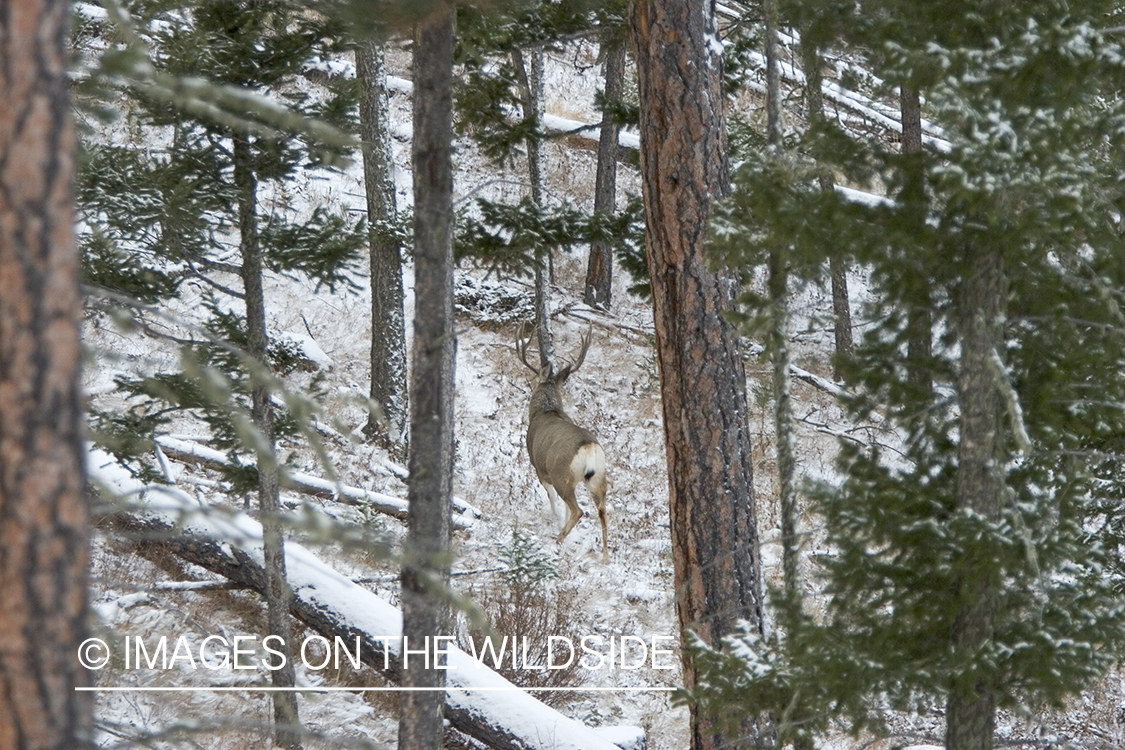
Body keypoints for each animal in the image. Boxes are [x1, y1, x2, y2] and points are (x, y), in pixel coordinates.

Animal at [517, 328, 609, 562]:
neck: (546, 410)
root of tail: (588, 447)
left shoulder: (540, 467)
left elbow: (551, 496)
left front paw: (555, 517)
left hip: (561, 473)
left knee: (578, 510)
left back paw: (557, 539)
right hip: (598, 477)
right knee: (602, 510)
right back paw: (605, 557)